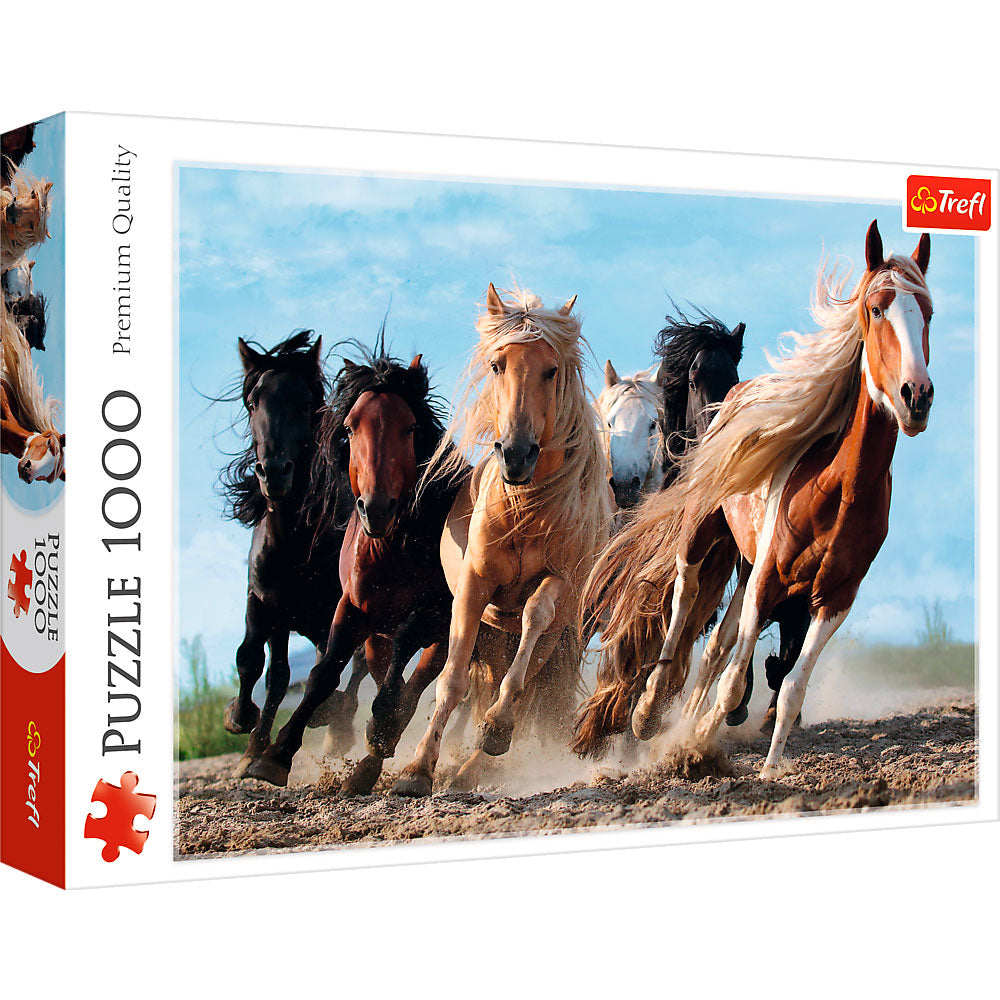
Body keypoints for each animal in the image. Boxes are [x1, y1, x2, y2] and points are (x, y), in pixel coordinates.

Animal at [219, 331, 362, 777]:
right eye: (253, 403)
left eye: (304, 403)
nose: (274, 473)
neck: (295, 543)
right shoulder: (265, 601)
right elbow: (258, 663)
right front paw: (244, 729)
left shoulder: (339, 609)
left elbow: (325, 669)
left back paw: (337, 727)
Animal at [246, 342, 469, 795]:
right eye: (349, 429)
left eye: (410, 428)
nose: (376, 508)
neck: (392, 548)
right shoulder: (351, 609)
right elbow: (323, 673)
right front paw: (275, 756)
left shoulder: (435, 615)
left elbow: (403, 663)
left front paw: (380, 730)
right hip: (375, 636)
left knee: (416, 684)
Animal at [391, 284, 613, 797]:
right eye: (497, 365)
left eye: (551, 370)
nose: (516, 455)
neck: (525, 509)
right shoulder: (474, 587)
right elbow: (451, 680)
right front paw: (416, 768)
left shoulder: (559, 583)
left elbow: (534, 618)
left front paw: (494, 729)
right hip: (494, 634)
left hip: (552, 638)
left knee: (527, 684)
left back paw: (478, 761)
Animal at [580, 221, 933, 778]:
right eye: (876, 308)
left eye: (928, 312)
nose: (915, 395)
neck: (838, 489)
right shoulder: (767, 573)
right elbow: (726, 675)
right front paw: (688, 741)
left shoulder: (835, 597)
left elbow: (788, 684)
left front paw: (765, 768)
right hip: (703, 533)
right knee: (682, 597)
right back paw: (649, 707)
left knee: (717, 648)